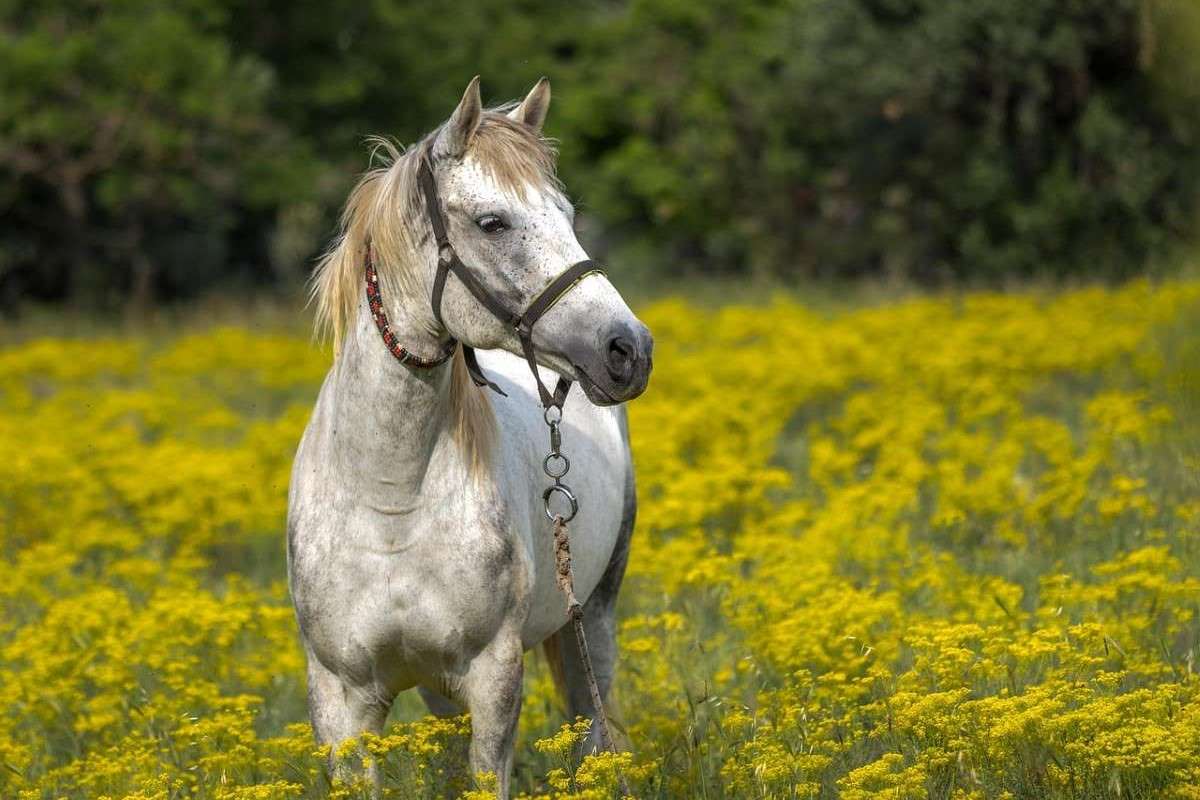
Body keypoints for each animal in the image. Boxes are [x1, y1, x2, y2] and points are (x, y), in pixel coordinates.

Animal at [287, 76, 653, 797]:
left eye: (568, 215)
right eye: (492, 222)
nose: (629, 350)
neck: (390, 500)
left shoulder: (492, 680)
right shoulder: (340, 700)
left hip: (591, 619)